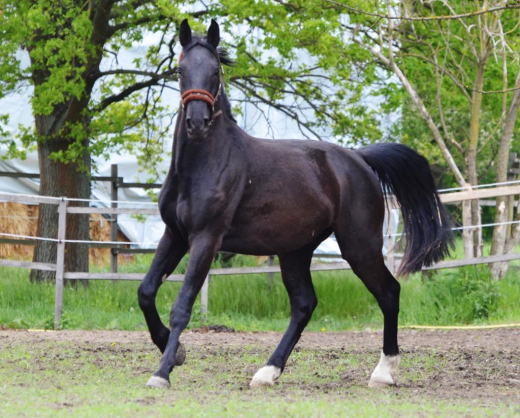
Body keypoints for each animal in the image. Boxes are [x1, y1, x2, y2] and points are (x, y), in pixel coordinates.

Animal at [137, 19, 450, 390]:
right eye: (180, 70)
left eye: (215, 71)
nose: (196, 123)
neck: (201, 166)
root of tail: (358, 159)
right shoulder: (174, 234)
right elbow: (146, 291)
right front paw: (177, 352)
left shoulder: (205, 238)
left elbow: (182, 306)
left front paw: (162, 372)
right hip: (295, 251)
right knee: (304, 305)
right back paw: (268, 372)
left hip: (359, 246)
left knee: (388, 292)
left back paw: (383, 372)